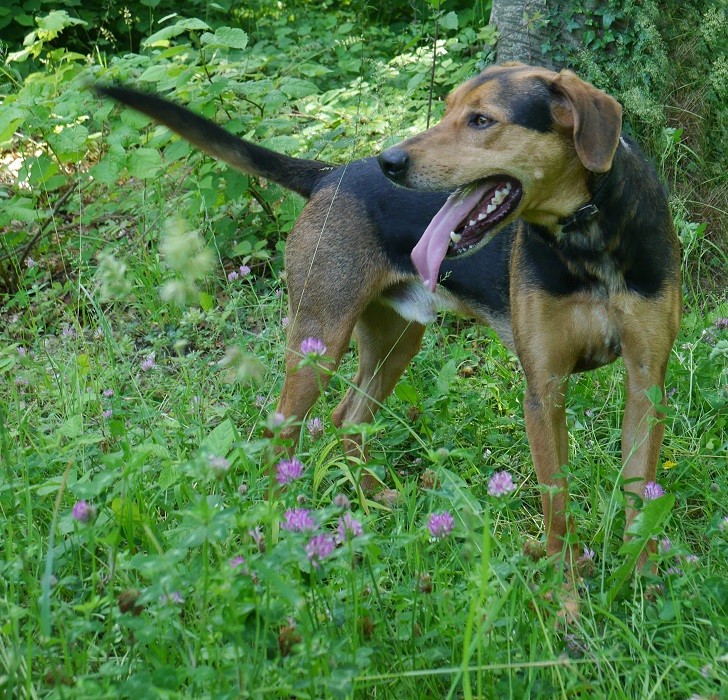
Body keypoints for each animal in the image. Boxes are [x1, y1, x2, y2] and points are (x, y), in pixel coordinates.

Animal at [96, 61, 684, 576]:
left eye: (481, 120)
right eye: (447, 109)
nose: (390, 161)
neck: (589, 244)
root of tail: (330, 175)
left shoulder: (645, 383)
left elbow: (640, 500)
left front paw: (642, 583)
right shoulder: (544, 387)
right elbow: (556, 512)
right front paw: (566, 603)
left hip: (395, 344)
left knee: (346, 420)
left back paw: (370, 501)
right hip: (318, 340)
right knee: (282, 437)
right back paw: (279, 528)